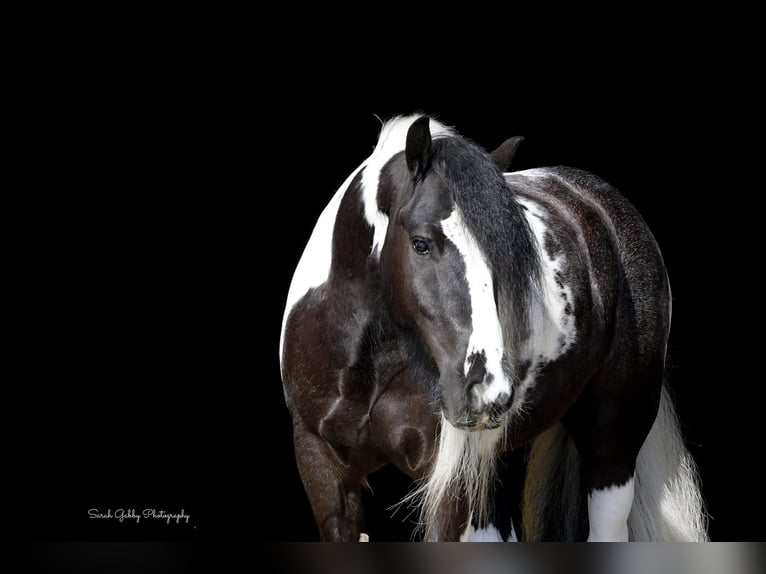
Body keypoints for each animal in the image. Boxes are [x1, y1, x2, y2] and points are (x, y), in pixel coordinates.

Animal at [278, 115, 708, 544]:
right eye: (420, 243)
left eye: (506, 254)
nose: (487, 389)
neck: (369, 360)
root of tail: (602, 204)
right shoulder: (321, 466)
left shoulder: (449, 481)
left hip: (613, 445)